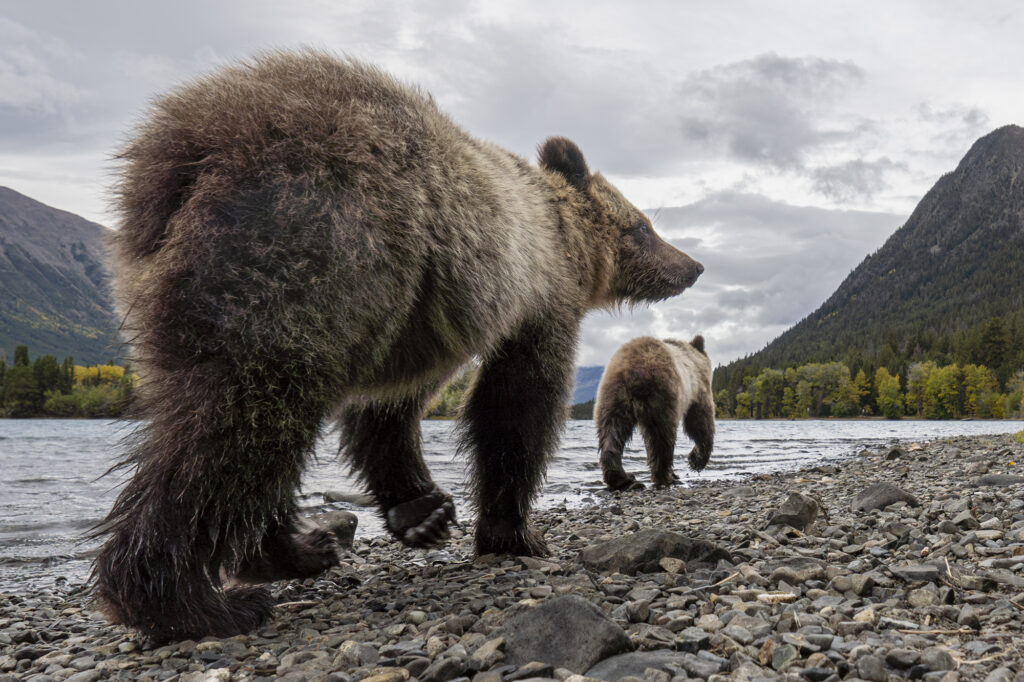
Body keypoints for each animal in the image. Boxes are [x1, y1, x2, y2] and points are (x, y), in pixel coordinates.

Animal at [594, 335, 715, 490]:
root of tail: (631, 369)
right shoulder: (698, 388)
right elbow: (700, 421)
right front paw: (696, 461)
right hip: (662, 396)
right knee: (662, 437)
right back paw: (666, 476)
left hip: (612, 398)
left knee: (611, 433)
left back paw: (622, 478)